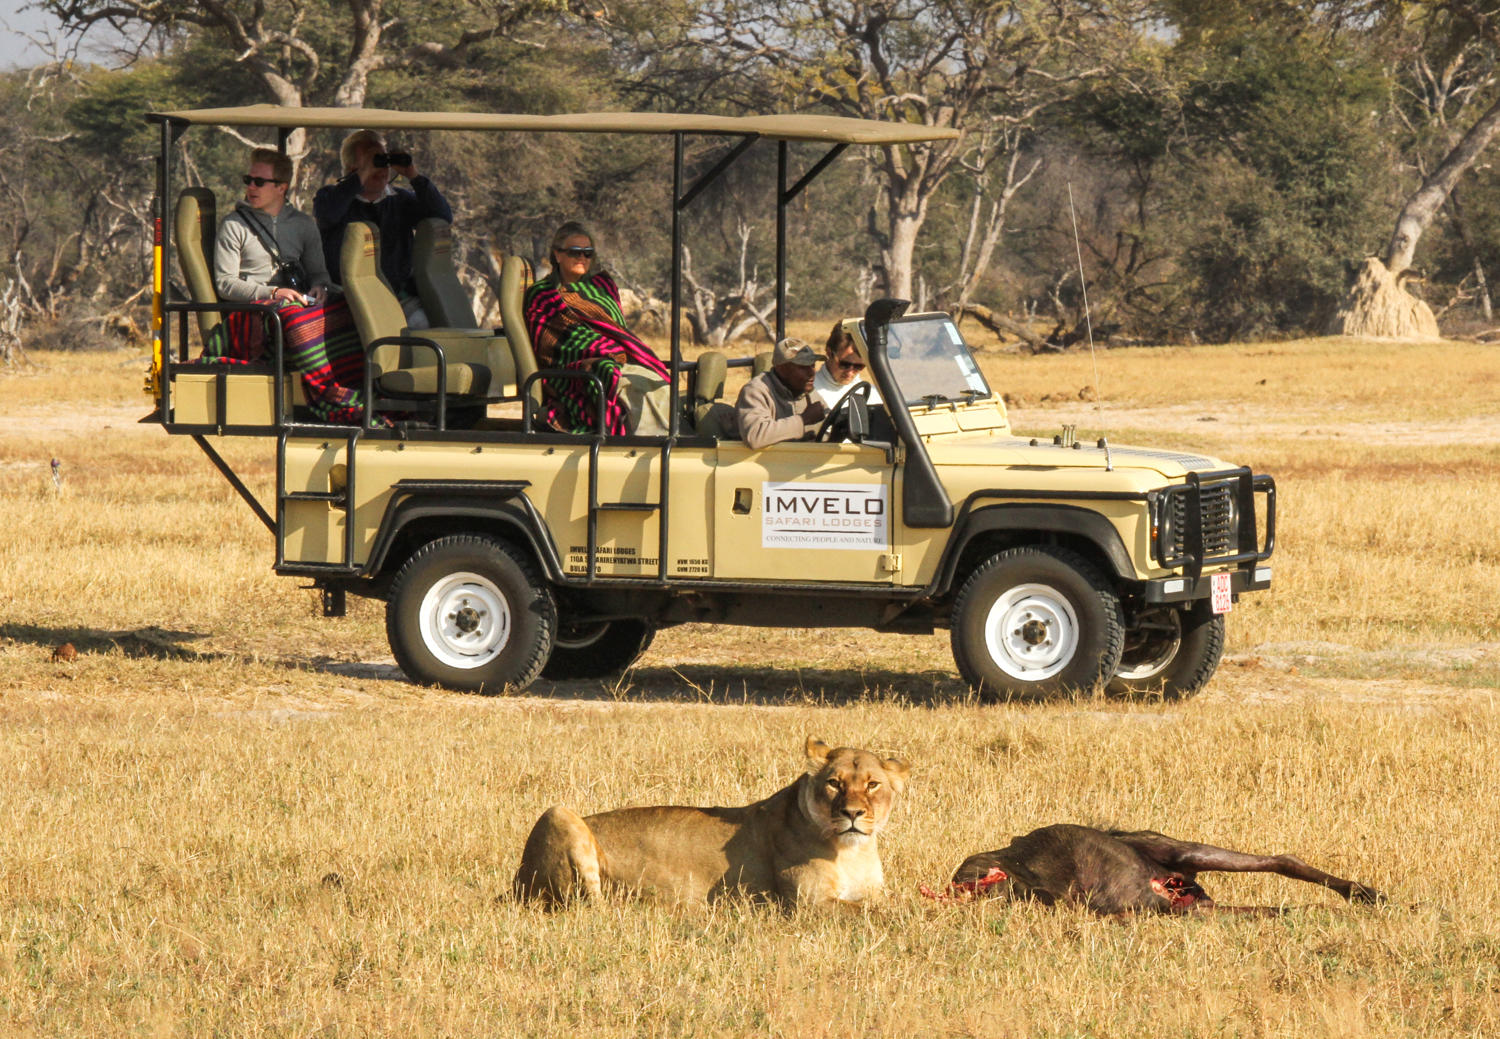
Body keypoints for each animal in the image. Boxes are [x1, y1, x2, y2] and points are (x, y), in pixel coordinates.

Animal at [512, 736, 909, 907]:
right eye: (834, 783)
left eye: (872, 784)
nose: (852, 814)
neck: (851, 850)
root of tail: (515, 884)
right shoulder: (808, 903)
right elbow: (878, 912)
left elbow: (886, 903)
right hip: (557, 813)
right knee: (587, 906)